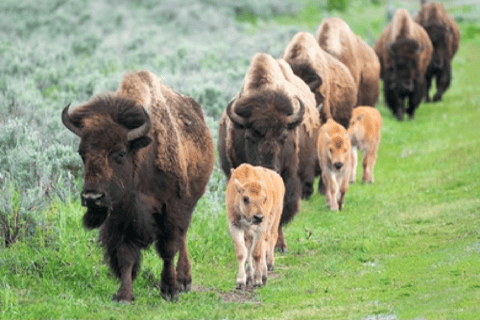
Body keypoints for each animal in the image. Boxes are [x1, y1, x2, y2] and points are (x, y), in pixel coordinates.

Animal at [61, 69, 215, 302]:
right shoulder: (120, 217)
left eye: (120, 153)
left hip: (190, 202)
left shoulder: (172, 209)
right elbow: (125, 256)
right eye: (82, 153)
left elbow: (168, 250)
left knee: (182, 239)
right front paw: (124, 295)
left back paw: (184, 280)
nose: (92, 198)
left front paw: (170, 290)